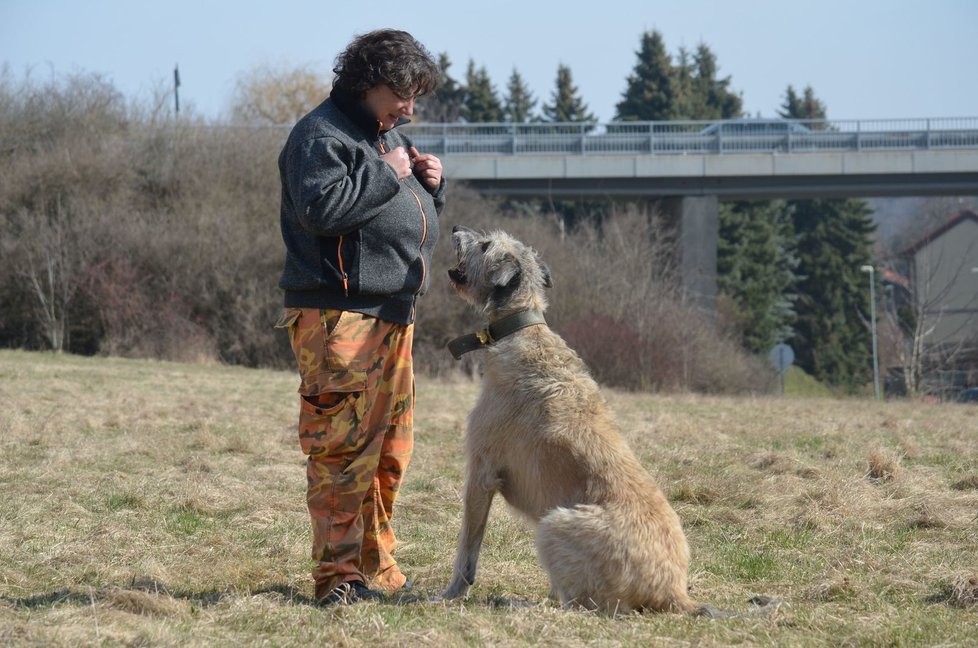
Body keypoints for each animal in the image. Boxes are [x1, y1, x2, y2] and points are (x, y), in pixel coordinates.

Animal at [438, 227, 696, 612]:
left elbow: (467, 549)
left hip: (554, 524)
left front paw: (452, 592)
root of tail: (673, 591)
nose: (455, 228)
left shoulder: (481, 473)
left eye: (484, 245)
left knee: (577, 603)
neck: (522, 327)